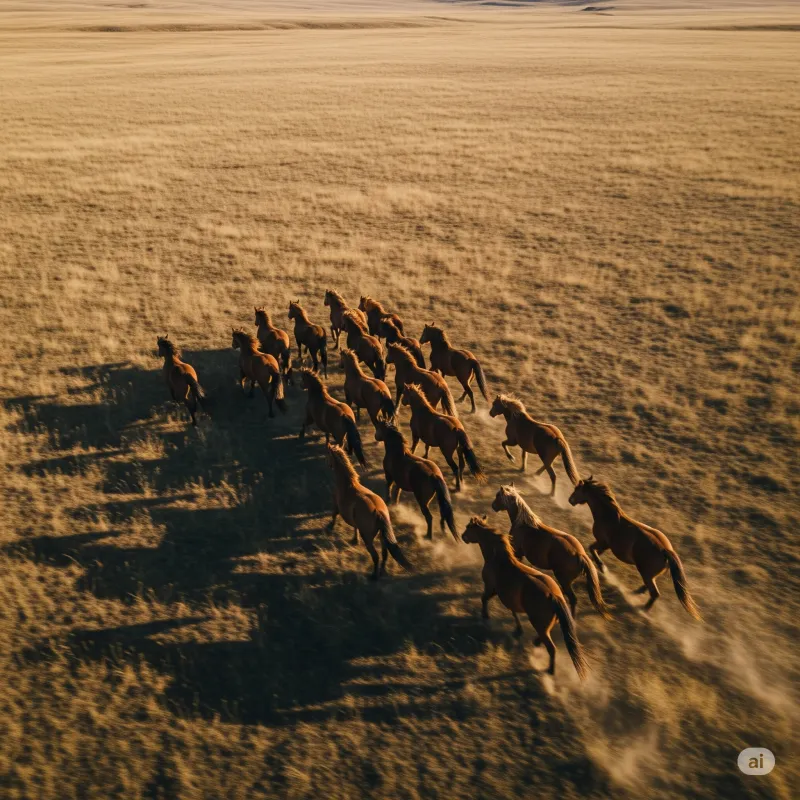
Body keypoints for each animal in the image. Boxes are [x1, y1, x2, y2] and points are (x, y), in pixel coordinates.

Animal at [326, 443, 413, 580]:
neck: (347, 485)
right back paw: (382, 571)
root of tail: (379, 511)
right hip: (382, 537)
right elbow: (354, 527)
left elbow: (334, 514)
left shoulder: (337, 504)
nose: (329, 465)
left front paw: (329, 527)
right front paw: (354, 539)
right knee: (384, 554)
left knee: (375, 556)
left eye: (328, 454)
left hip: (368, 538)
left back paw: (374, 576)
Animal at [462, 516, 589, 679]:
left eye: (468, 527)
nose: (462, 536)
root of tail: (554, 596)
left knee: (551, 648)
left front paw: (485, 616)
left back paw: (550, 670)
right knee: (545, 636)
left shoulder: (491, 588)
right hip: (549, 622)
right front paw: (518, 629)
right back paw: (536, 642)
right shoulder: (508, 597)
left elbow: (484, 599)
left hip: (539, 623)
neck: (499, 560)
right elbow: (513, 612)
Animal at [492, 484, 610, 619]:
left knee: (573, 599)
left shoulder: (517, 553)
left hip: (563, 580)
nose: (493, 506)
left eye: (498, 496)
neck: (523, 525)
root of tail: (580, 555)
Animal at [568, 477, 701, 620]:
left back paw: (644, 610)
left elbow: (592, 549)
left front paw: (602, 568)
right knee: (649, 587)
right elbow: (595, 552)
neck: (608, 515)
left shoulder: (603, 542)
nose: (570, 500)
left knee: (655, 593)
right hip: (649, 574)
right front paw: (599, 567)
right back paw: (637, 592)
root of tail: (665, 550)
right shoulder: (606, 545)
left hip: (645, 573)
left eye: (577, 489)